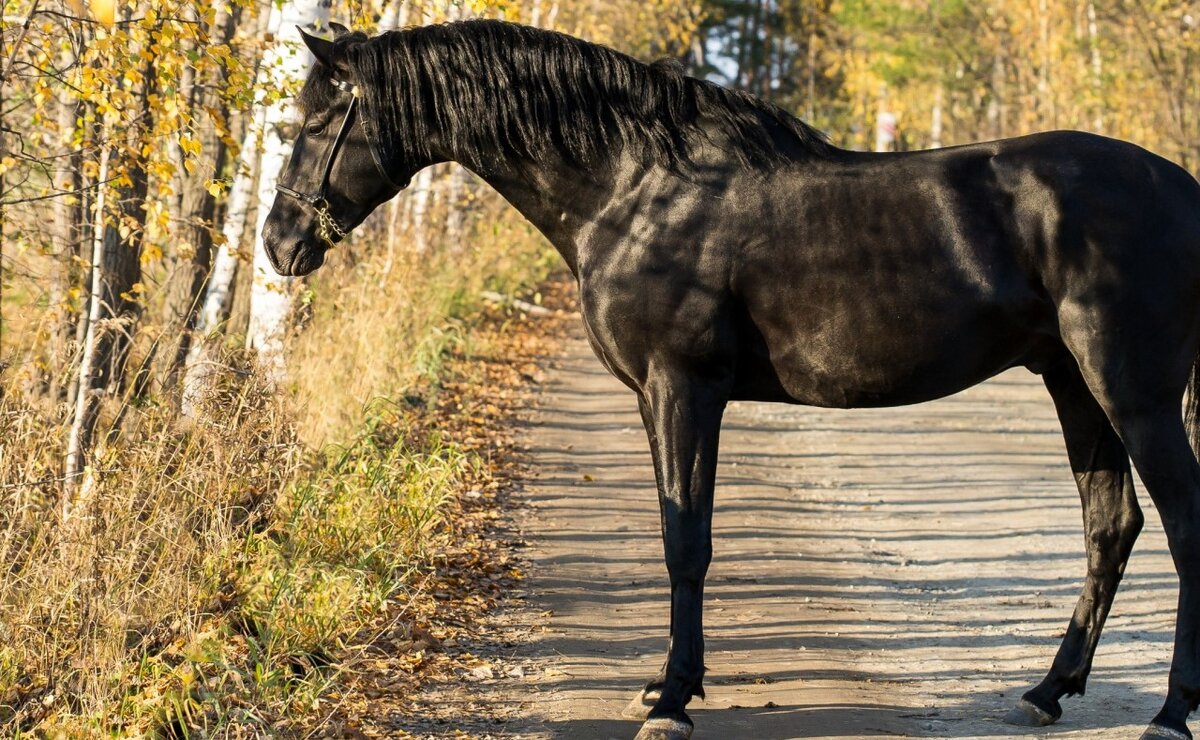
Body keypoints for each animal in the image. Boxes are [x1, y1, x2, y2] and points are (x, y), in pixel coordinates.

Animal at [265, 18, 1200, 738]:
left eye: (317, 121)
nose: (280, 243)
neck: (635, 190)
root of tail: (1180, 187)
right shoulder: (657, 399)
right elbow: (677, 531)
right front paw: (665, 682)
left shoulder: (684, 389)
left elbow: (688, 541)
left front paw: (673, 701)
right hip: (1073, 384)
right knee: (1111, 527)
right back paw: (1048, 691)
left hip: (1136, 395)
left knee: (1178, 527)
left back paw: (1167, 713)